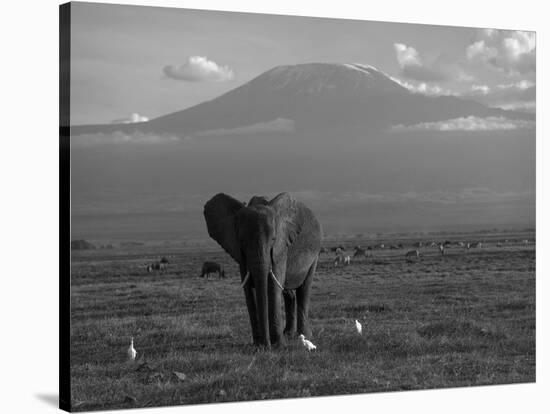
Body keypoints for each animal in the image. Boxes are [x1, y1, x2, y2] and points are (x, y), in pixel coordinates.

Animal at [204, 192, 324, 348]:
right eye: (242, 241)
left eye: (273, 239)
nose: (266, 346)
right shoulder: (241, 254)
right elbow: (249, 289)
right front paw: (258, 346)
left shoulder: (281, 247)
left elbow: (273, 286)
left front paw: (278, 346)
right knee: (288, 293)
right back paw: (289, 335)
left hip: (315, 254)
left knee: (304, 290)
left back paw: (304, 336)